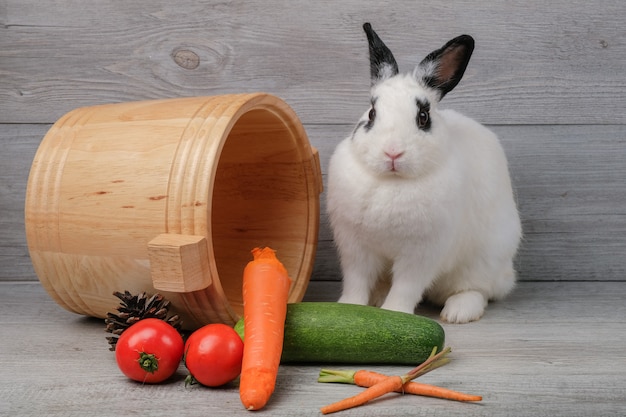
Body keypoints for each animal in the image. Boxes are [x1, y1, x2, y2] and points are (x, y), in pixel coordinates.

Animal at [324, 21, 520, 324]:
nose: (393, 152)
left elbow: (406, 285)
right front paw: (349, 307)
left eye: (423, 117)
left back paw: (458, 312)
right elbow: (356, 282)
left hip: (483, 261)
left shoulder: (422, 253)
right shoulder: (355, 249)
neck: (392, 181)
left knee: (479, 290)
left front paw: (395, 314)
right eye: (371, 114)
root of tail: (506, 274)